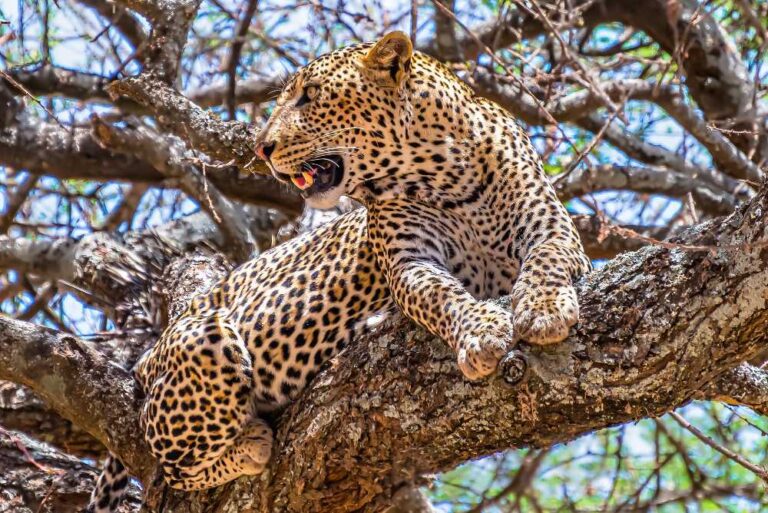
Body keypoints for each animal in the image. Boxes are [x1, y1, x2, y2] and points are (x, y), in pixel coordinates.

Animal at [87, 32, 592, 512]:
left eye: (309, 95)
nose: (262, 148)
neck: (446, 176)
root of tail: (148, 354)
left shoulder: (554, 230)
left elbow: (546, 261)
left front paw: (543, 309)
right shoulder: (410, 263)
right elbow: (440, 295)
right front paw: (482, 331)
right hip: (204, 340)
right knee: (171, 467)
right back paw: (250, 444)